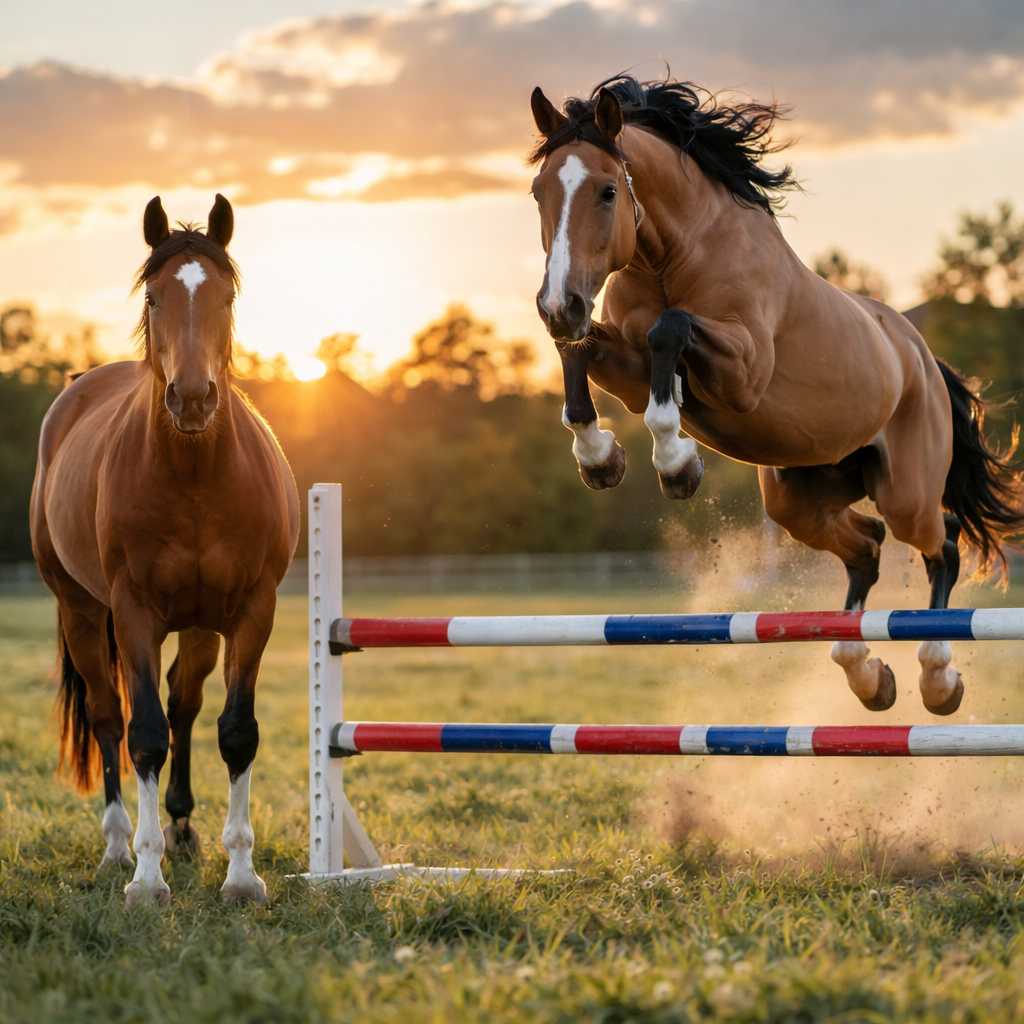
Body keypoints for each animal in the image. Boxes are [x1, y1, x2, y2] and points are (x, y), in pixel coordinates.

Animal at [30, 195, 300, 905]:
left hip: (201, 624)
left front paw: (242, 875)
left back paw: (180, 827)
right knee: (109, 717)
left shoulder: (251, 612)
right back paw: (119, 846)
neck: (196, 477)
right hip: (82, 611)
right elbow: (143, 734)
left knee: (183, 704)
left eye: (226, 296)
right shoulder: (135, 613)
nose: (193, 397)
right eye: (154, 297)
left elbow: (234, 731)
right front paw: (146, 880)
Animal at [528, 75, 1023, 715]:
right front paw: (599, 459)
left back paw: (938, 679)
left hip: (906, 493)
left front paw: (676, 465)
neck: (674, 253)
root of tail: (922, 359)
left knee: (944, 542)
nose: (558, 304)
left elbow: (671, 331)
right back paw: (867, 675)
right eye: (538, 192)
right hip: (799, 499)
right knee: (866, 546)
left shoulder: (742, 371)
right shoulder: (630, 371)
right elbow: (579, 351)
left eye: (609, 191)